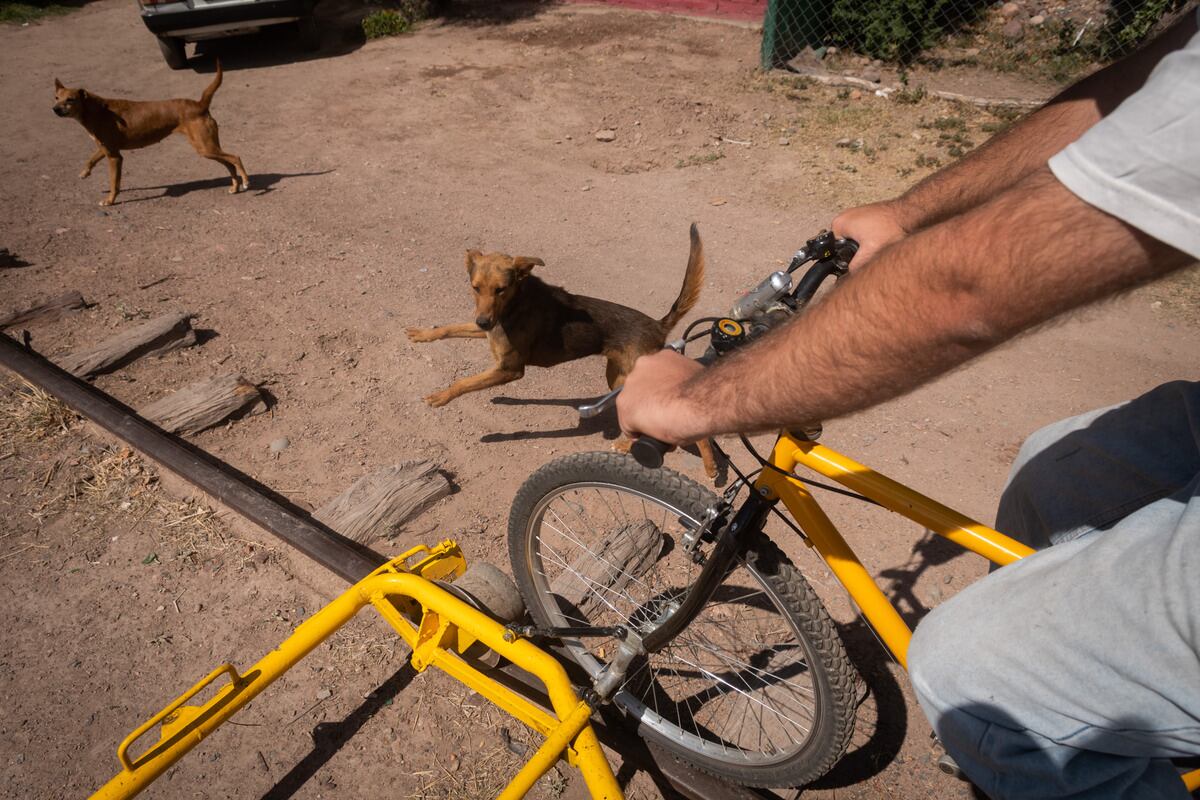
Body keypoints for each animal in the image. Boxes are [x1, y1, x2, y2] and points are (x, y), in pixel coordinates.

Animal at [52, 61, 247, 206]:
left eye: (70, 100)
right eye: (56, 98)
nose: (54, 109)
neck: (95, 110)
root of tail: (200, 104)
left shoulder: (115, 157)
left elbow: (114, 183)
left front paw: (110, 200)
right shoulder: (106, 148)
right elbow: (91, 159)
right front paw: (85, 172)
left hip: (205, 148)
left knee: (235, 157)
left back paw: (245, 182)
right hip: (208, 147)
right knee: (229, 164)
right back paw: (235, 186)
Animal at [408, 221, 715, 479]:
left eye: (500, 289)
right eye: (475, 287)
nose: (483, 321)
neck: (515, 304)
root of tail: (657, 326)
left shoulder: (510, 369)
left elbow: (463, 381)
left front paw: (441, 396)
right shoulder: (486, 333)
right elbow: (448, 328)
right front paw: (423, 334)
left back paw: (708, 464)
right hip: (617, 377)